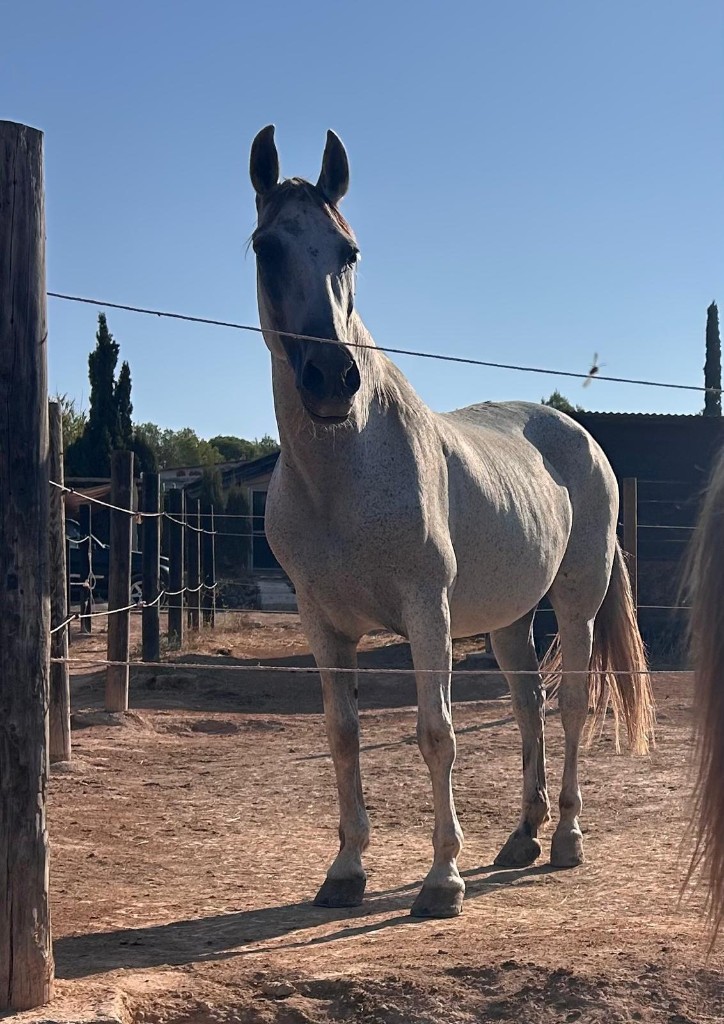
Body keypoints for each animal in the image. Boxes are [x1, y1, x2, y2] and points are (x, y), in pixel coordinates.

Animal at [248, 125, 655, 918]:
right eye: (265, 246)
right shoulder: (321, 622)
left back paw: (566, 838)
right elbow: (342, 737)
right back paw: (521, 837)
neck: (345, 475)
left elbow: (437, 734)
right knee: (528, 706)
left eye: (348, 250)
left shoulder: (426, 611)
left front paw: (442, 880)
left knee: (571, 707)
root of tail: (582, 437)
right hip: (508, 620)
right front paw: (345, 872)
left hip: (577, 603)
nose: (331, 380)